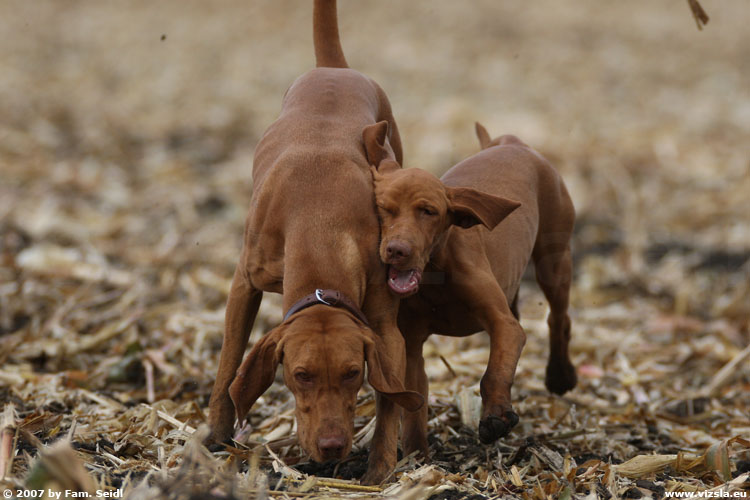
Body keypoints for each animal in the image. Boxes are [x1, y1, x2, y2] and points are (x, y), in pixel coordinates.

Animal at [207, 0, 424, 484]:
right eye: (301, 375)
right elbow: (229, 362)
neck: (321, 227)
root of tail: (334, 68)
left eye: (352, 373)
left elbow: (390, 395)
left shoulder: (385, 327)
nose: (331, 447)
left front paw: (379, 469)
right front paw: (214, 436)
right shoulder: (244, 283)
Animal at [368, 122, 576, 458]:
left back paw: (559, 375)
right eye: (383, 209)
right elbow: (414, 407)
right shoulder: (411, 347)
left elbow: (493, 373)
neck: (435, 274)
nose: (396, 250)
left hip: (554, 259)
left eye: (428, 211)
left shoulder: (503, 325)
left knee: (559, 318)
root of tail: (510, 141)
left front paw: (495, 418)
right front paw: (417, 457)